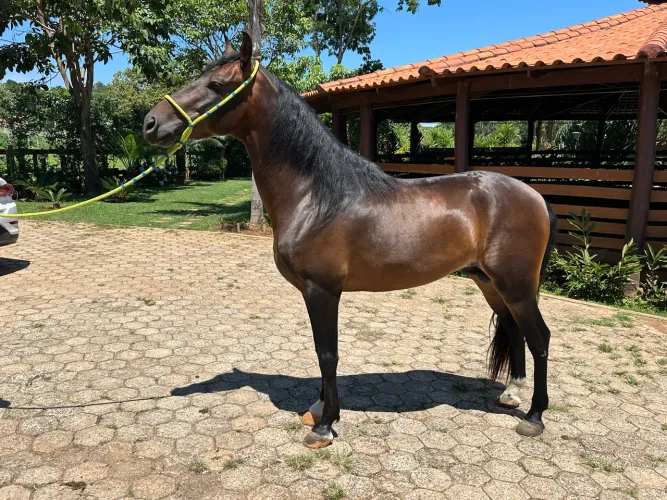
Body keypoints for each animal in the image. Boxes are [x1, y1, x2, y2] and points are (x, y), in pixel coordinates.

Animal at [144, 32, 557, 449]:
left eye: (215, 85)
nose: (150, 123)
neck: (316, 197)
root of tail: (535, 197)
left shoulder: (322, 289)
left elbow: (328, 354)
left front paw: (325, 425)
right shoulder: (315, 292)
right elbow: (321, 351)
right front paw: (318, 407)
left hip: (516, 285)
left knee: (539, 338)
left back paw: (535, 416)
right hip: (490, 282)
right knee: (514, 329)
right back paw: (512, 393)